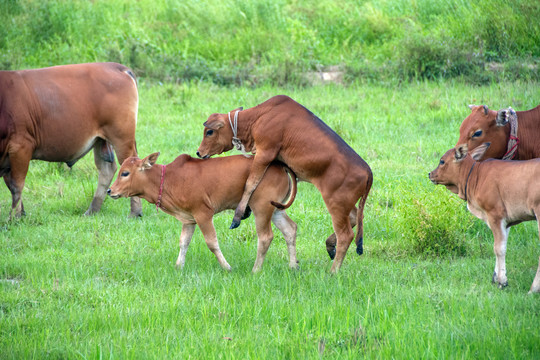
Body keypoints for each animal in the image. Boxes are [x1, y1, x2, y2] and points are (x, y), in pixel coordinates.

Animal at [0, 62, 141, 218]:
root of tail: (118, 67)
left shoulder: (20, 147)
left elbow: (16, 185)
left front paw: (14, 217)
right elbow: (11, 184)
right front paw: (21, 214)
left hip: (122, 138)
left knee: (130, 165)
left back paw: (135, 212)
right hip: (100, 140)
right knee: (106, 170)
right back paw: (92, 210)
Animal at [107, 153, 298, 272]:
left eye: (125, 173)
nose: (110, 191)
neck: (169, 179)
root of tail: (280, 166)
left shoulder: (203, 214)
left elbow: (212, 243)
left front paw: (227, 267)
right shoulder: (188, 219)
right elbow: (183, 243)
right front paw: (178, 266)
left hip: (262, 208)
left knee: (265, 237)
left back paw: (256, 270)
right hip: (275, 210)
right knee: (290, 229)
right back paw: (293, 266)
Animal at [196, 94, 374, 272]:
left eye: (209, 131)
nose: (199, 152)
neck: (258, 117)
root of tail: (368, 171)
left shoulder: (265, 153)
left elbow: (250, 183)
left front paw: (238, 216)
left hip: (335, 205)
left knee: (345, 235)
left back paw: (333, 272)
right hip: (345, 206)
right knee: (354, 218)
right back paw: (330, 247)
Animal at [430, 142, 540, 294]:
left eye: (442, 161)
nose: (430, 174)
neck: (476, 176)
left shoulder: (495, 215)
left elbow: (498, 248)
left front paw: (502, 282)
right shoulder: (507, 222)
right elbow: (501, 245)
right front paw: (496, 277)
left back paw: (533, 289)